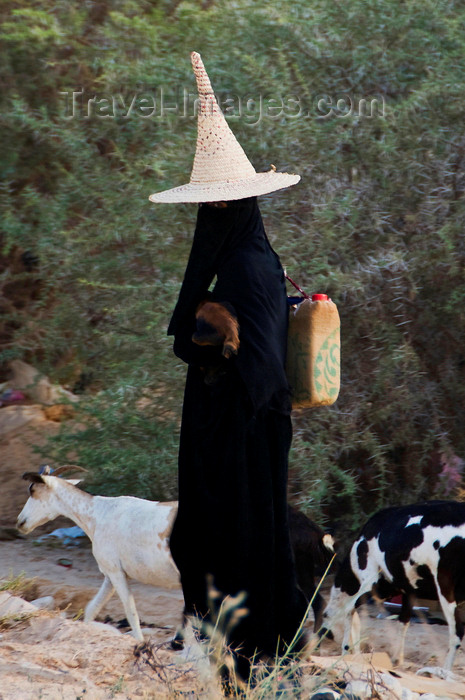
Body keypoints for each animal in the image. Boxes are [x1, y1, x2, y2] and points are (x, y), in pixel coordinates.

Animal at [16, 464, 179, 640]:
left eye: (33, 490)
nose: (21, 522)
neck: (98, 514)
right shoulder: (110, 576)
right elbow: (91, 609)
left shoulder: (116, 572)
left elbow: (130, 611)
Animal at [320, 500, 464, 668]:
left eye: (324, 615)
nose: (322, 634)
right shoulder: (408, 591)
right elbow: (403, 622)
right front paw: (397, 659)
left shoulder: (370, 584)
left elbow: (349, 611)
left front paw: (347, 653)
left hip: (445, 588)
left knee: (456, 633)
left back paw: (445, 671)